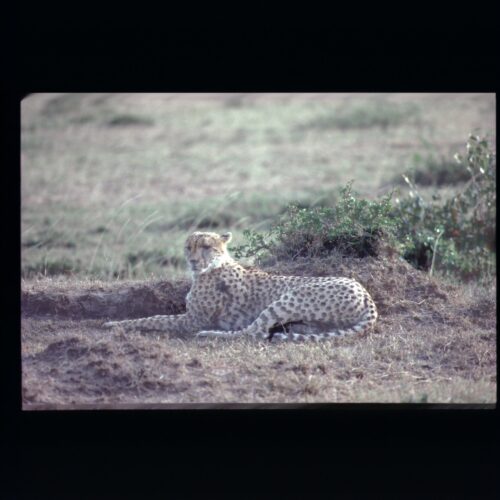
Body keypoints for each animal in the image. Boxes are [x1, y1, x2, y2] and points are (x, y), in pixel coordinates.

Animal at [103, 231, 376, 342]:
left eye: (206, 246)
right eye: (188, 247)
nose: (192, 261)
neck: (214, 265)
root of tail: (365, 294)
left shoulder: (193, 320)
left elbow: (153, 318)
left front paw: (113, 323)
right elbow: (154, 316)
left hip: (289, 298)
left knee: (254, 332)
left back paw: (212, 335)